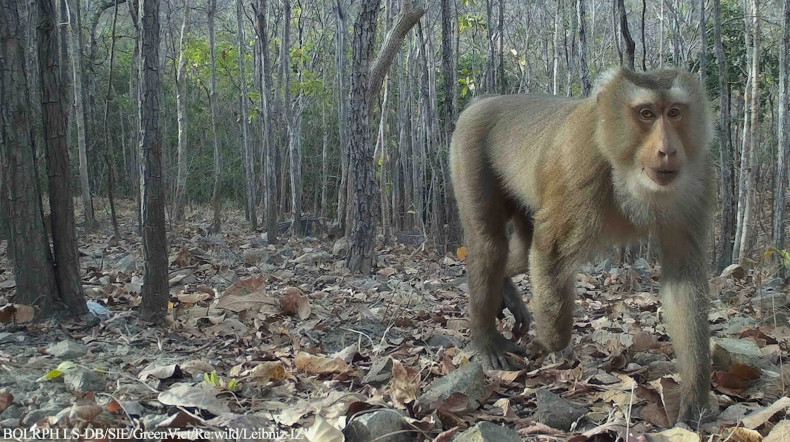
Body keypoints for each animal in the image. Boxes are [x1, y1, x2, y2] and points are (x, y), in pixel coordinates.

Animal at [449, 68, 714, 424]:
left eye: (674, 112)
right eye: (646, 114)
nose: (667, 150)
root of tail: (487, 99)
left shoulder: (697, 178)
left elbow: (683, 278)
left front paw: (694, 394)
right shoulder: (580, 163)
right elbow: (551, 251)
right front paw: (550, 343)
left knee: (519, 249)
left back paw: (506, 288)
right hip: (469, 144)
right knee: (490, 245)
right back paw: (486, 339)